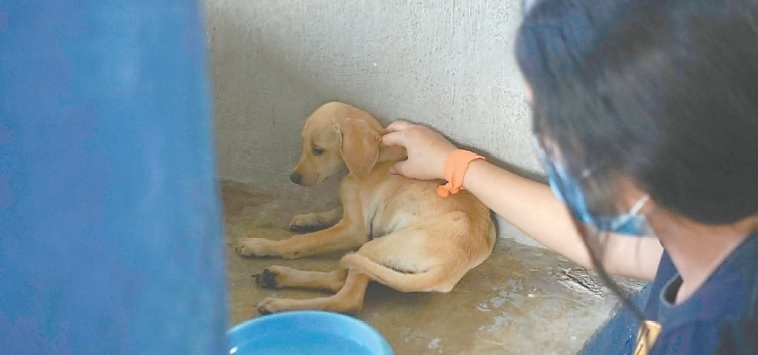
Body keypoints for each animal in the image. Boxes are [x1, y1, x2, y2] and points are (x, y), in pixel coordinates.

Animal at [238, 102, 498, 314]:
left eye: (318, 150)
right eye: (303, 144)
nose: (294, 178)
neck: (377, 157)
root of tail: (451, 267)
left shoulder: (354, 229)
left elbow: (302, 242)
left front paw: (263, 245)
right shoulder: (352, 210)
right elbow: (334, 211)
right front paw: (307, 219)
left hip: (374, 246)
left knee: (347, 299)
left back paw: (281, 304)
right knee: (340, 277)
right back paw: (276, 277)